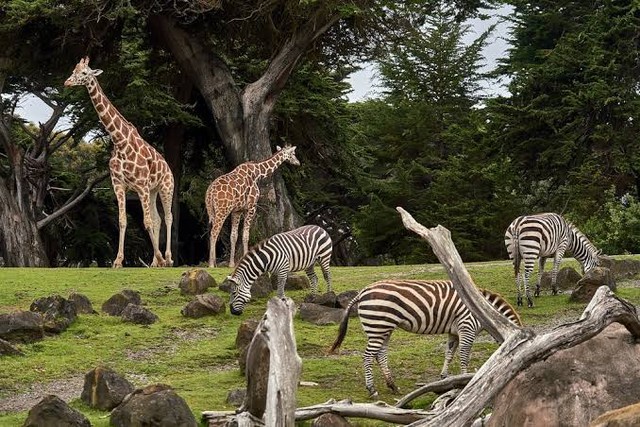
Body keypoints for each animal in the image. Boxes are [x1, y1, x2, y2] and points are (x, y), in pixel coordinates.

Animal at [64, 57, 174, 268]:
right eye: (73, 70)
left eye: (84, 73)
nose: (67, 82)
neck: (119, 141)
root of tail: (168, 167)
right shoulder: (119, 185)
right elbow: (123, 220)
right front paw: (117, 260)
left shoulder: (140, 185)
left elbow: (147, 221)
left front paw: (160, 258)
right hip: (153, 190)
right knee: (158, 218)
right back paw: (155, 262)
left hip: (166, 187)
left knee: (168, 217)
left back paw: (168, 258)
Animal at [330, 280, 520, 400]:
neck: (484, 312)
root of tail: (363, 291)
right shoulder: (467, 327)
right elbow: (464, 356)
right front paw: (466, 380)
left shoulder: (454, 332)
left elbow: (449, 353)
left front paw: (444, 377)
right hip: (378, 325)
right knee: (368, 356)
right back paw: (372, 389)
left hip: (383, 328)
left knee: (380, 355)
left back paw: (393, 386)